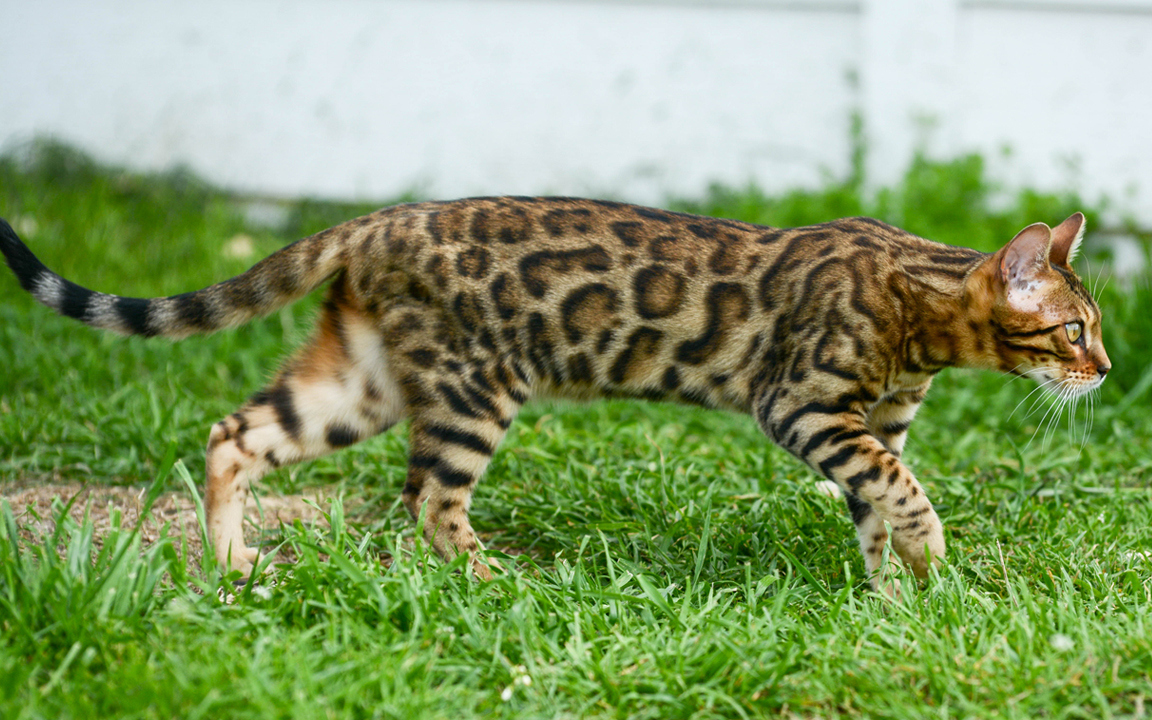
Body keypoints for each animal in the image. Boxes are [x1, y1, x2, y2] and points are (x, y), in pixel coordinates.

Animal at [0, 198, 1105, 589]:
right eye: (1075, 329)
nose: (1101, 371)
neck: (919, 314)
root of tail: (376, 222)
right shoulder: (802, 405)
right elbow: (900, 489)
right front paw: (927, 556)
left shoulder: (873, 425)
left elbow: (878, 500)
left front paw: (892, 598)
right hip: (472, 388)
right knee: (430, 501)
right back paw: (499, 581)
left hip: (360, 380)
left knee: (238, 433)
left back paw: (232, 559)